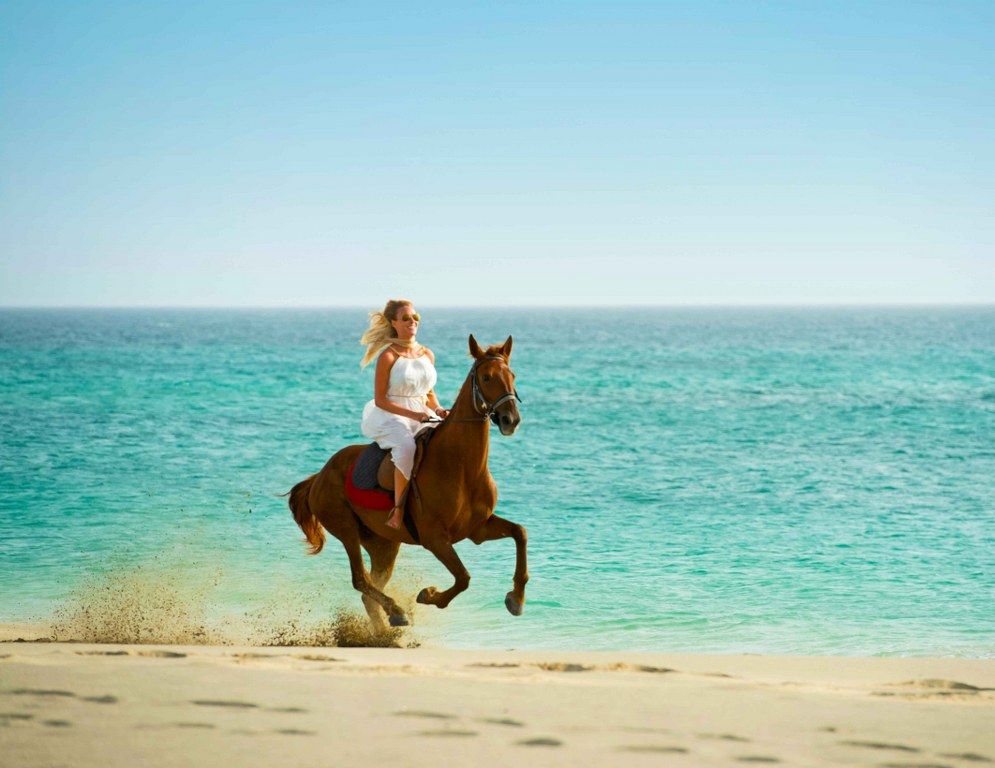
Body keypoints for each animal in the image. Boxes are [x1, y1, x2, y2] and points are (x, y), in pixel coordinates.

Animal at [287, 334, 527, 631]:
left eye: (512, 375)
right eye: (485, 377)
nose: (510, 420)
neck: (461, 468)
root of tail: (318, 477)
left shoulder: (478, 529)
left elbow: (520, 533)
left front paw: (516, 599)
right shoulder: (435, 538)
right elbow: (463, 577)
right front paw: (430, 595)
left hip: (383, 544)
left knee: (369, 592)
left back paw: (384, 629)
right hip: (346, 530)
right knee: (360, 580)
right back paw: (397, 611)